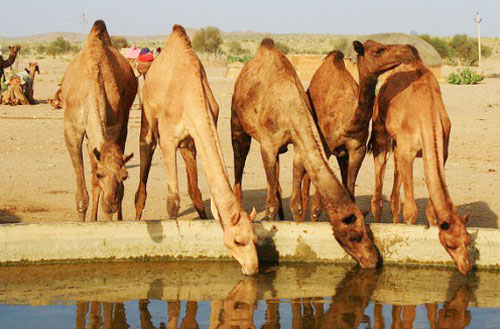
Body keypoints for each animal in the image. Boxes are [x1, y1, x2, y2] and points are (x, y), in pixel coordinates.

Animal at [61, 20, 138, 220]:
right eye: (100, 174)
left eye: (125, 175)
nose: (110, 205)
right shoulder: (72, 129)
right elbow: (82, 197)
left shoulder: (114, 126)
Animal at [136, 24, 258, 274]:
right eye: (237, 241)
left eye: (255, 239)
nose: (253, 268)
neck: (190, 95)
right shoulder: (168, 140)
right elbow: (173, 200)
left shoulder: (196, 137)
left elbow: (199, 194)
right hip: (148, 116)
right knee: (146, 146)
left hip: (187, 146)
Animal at [232, 39, 380, 270]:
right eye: (353, 236)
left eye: (367, 231)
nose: (373, 260)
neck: (289, 107)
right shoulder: (268, 145)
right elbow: (271, 204)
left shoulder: (297, 144)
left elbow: (296, 201)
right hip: (237, 121)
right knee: (239, 157)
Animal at [364, 41, 472, 274]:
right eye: (450, 244)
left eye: (467, 240)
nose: (466, 267)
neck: (428, 114)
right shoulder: (408, 152)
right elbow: (411, 211)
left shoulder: (441, 152)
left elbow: (430, 209)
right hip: (380, 130)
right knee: (380, 176)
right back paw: (378, 222)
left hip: (397, 145)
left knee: (395, 192)